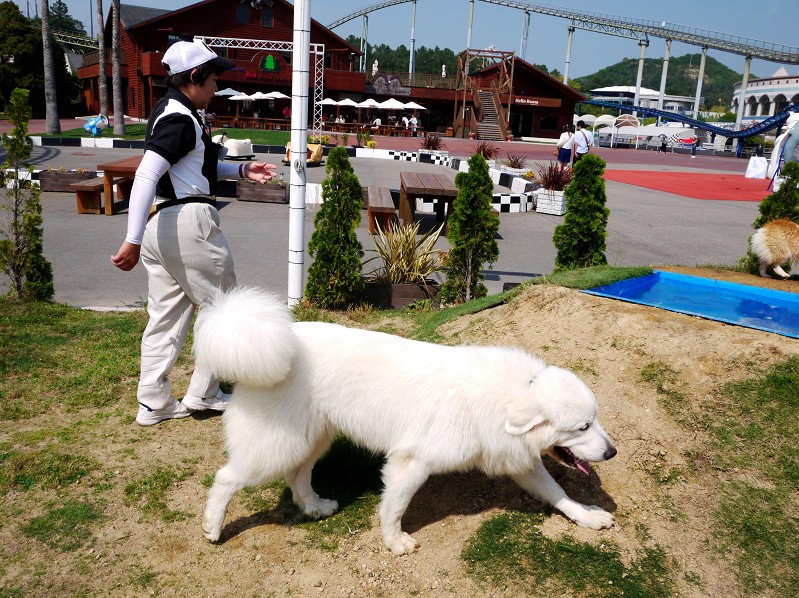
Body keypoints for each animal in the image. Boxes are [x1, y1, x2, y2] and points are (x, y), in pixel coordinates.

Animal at [194, 288, 620, 556]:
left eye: (595, 418)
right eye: (582, 427)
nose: (612, 452)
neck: (511, 395)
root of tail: (271, 337)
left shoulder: (521, 462)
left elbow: (559, 495)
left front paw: (588, 517)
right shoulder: (411, 463)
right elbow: (394, 508)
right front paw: (394, 542)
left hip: (312, 439)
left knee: (297, 477)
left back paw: (314, 507)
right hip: (276, 446)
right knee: (227, 478)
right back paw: (212, 528)